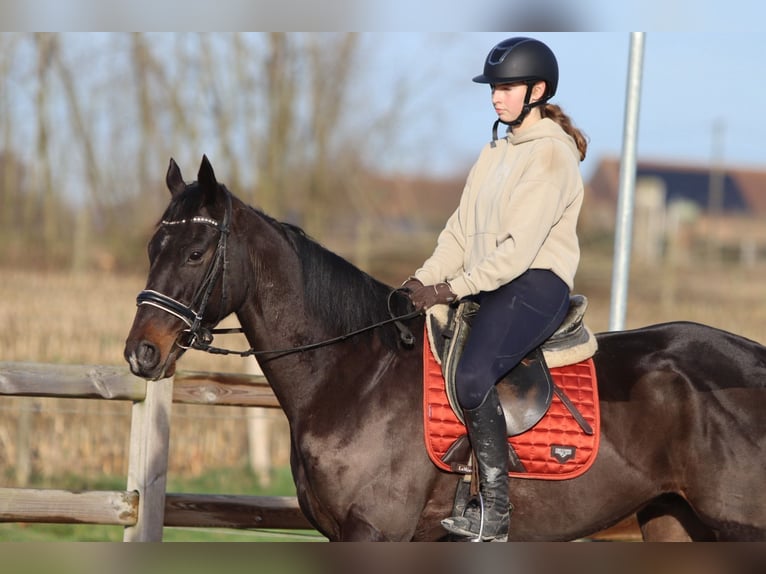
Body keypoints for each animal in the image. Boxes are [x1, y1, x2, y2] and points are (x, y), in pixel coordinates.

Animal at [124, 156, 766, 541]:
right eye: (153, 246)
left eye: (196, 253)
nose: (141, 354)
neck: (355, 377)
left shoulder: (375, 533)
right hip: (674, 522)